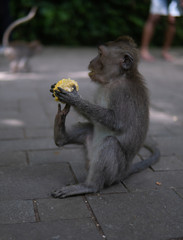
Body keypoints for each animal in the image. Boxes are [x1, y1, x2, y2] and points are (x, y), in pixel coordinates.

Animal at [49, 35, 160, 197]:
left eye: (100, 54)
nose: (91, 61)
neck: (115, 79)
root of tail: (123, 172)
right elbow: (94, 120)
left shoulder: (121, 93)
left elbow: (116, 122)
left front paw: (74, 98)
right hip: (90, 154)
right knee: (89, 129)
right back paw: (61, 134)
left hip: (114, 172)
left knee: (110, 143)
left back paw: (89, 186)